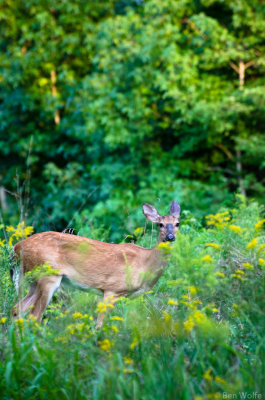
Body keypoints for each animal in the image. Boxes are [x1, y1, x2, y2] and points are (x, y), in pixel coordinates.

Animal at [10, 202, 179, 326]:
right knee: (34, 316)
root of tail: (16, 247)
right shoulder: (112, 289)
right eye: (160, 224)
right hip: (48, 275)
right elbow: (100, 324)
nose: (170, 237)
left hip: (34, 279)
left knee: (17, 309)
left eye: (177, 223)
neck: (145, 263)